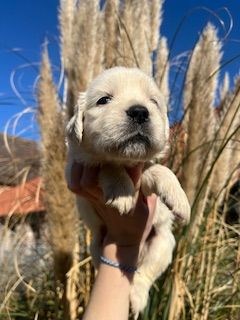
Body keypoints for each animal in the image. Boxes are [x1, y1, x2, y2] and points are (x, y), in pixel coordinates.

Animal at [64, 66, 190, 316]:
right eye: (103, 100)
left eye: (153, 102)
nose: (140, 112)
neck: (126, 160)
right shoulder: (77, 164)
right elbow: (107, 164)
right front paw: (122, 191)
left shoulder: (144, 173)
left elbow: (158, 168)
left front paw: (179, 199)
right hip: (97, 248)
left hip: (163, 244)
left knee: (143, 275)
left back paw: (137, 299)